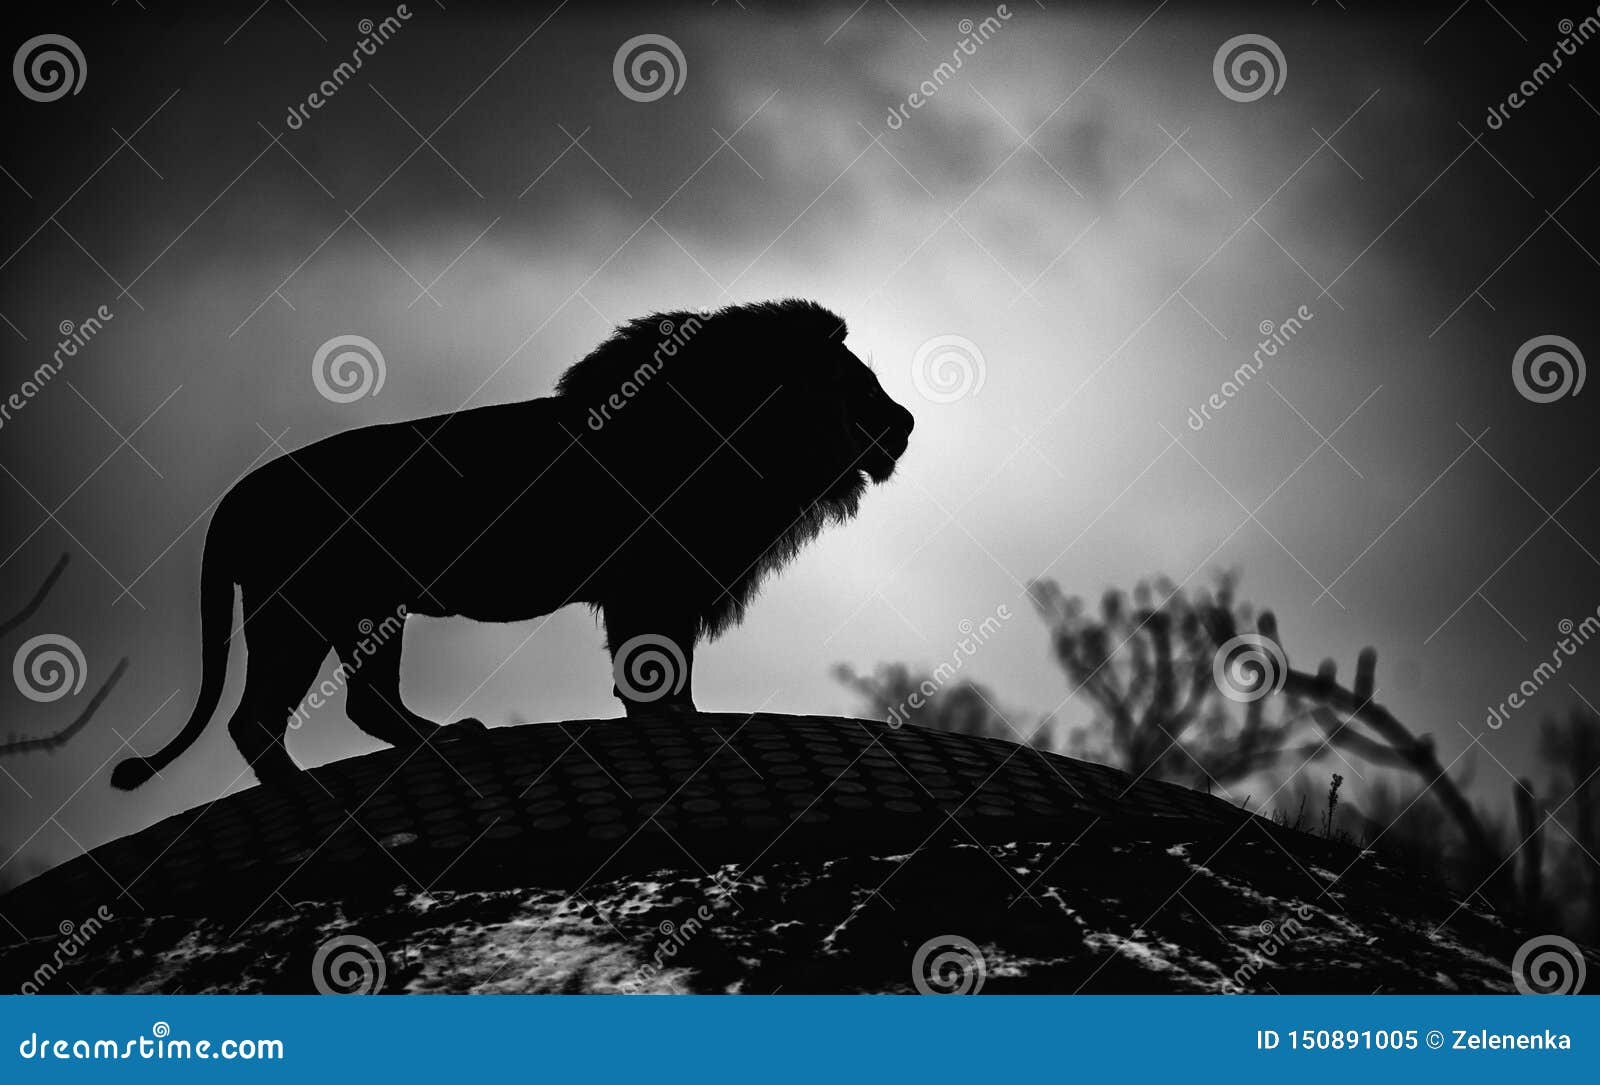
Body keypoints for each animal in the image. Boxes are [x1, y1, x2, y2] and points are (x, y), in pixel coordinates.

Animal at [109, 299, 915, 790]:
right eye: (858, 383)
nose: (905, 422)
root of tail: (237, 497)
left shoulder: (666, 590)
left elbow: (671, 679)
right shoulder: (652, 587)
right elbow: (657, 679)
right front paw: (675, 725)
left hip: (333, 611)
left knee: (331, 707)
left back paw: (430, 743)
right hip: (318, 605)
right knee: (282, 714)